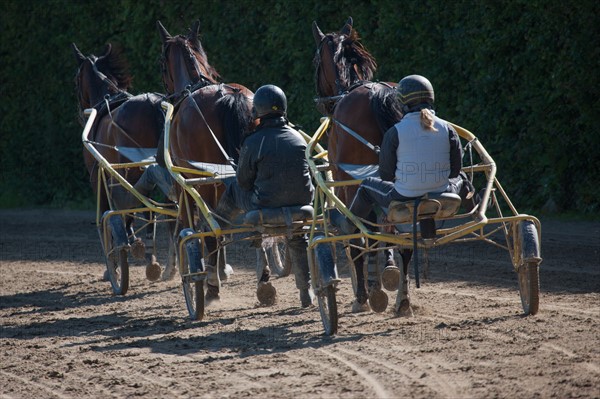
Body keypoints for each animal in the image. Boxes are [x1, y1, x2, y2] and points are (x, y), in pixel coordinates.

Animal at [74, 43, 171, 276]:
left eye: (75, 79)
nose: (80, 113)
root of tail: (152, 104)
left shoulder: (98, 176)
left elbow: (109, 212)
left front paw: (113, 264)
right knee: (154, 209)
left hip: (133, 169)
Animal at [157, 19, 255, 300]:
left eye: (160, 63)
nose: (167, 94)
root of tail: (228, 95)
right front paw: (221, 268)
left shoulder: (184, 183)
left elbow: (188, 223)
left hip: (207, 181)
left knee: (211, 225)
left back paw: (210, 285)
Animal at [312, 17, 414, 316]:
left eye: (315, 60)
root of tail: (381, 95)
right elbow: (382, 234)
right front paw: (385, 276)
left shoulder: (344, 184)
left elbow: (361, 236)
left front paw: (367, 292)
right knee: (405, 240)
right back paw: (403, 301)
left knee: (361, 236)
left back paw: (365, 296)